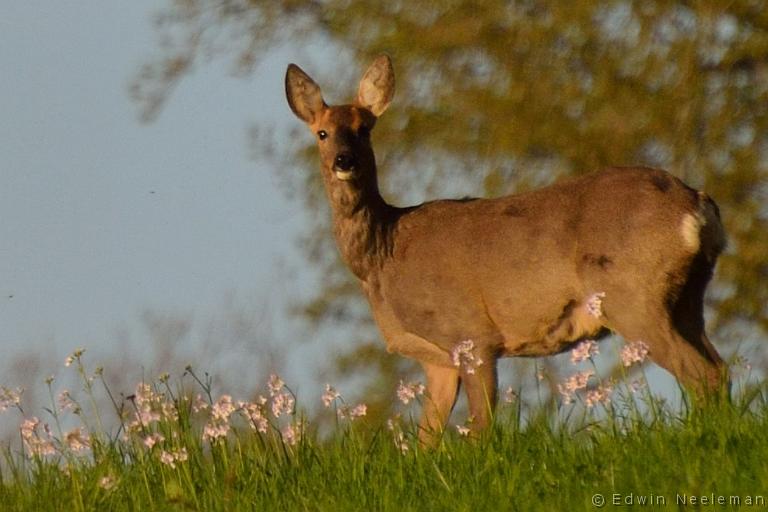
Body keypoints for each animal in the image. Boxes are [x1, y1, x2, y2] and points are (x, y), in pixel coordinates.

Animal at [286, 53, 728, 444]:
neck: (384, 253)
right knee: (719, 368)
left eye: (365, 128)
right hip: (687, 297)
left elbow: (481, 428)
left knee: (700, 373)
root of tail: (695, 203)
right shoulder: (436, 359)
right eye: (322, 133)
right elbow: (426, 440)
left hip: (633, 296)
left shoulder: (470, 333)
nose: (344, 161)